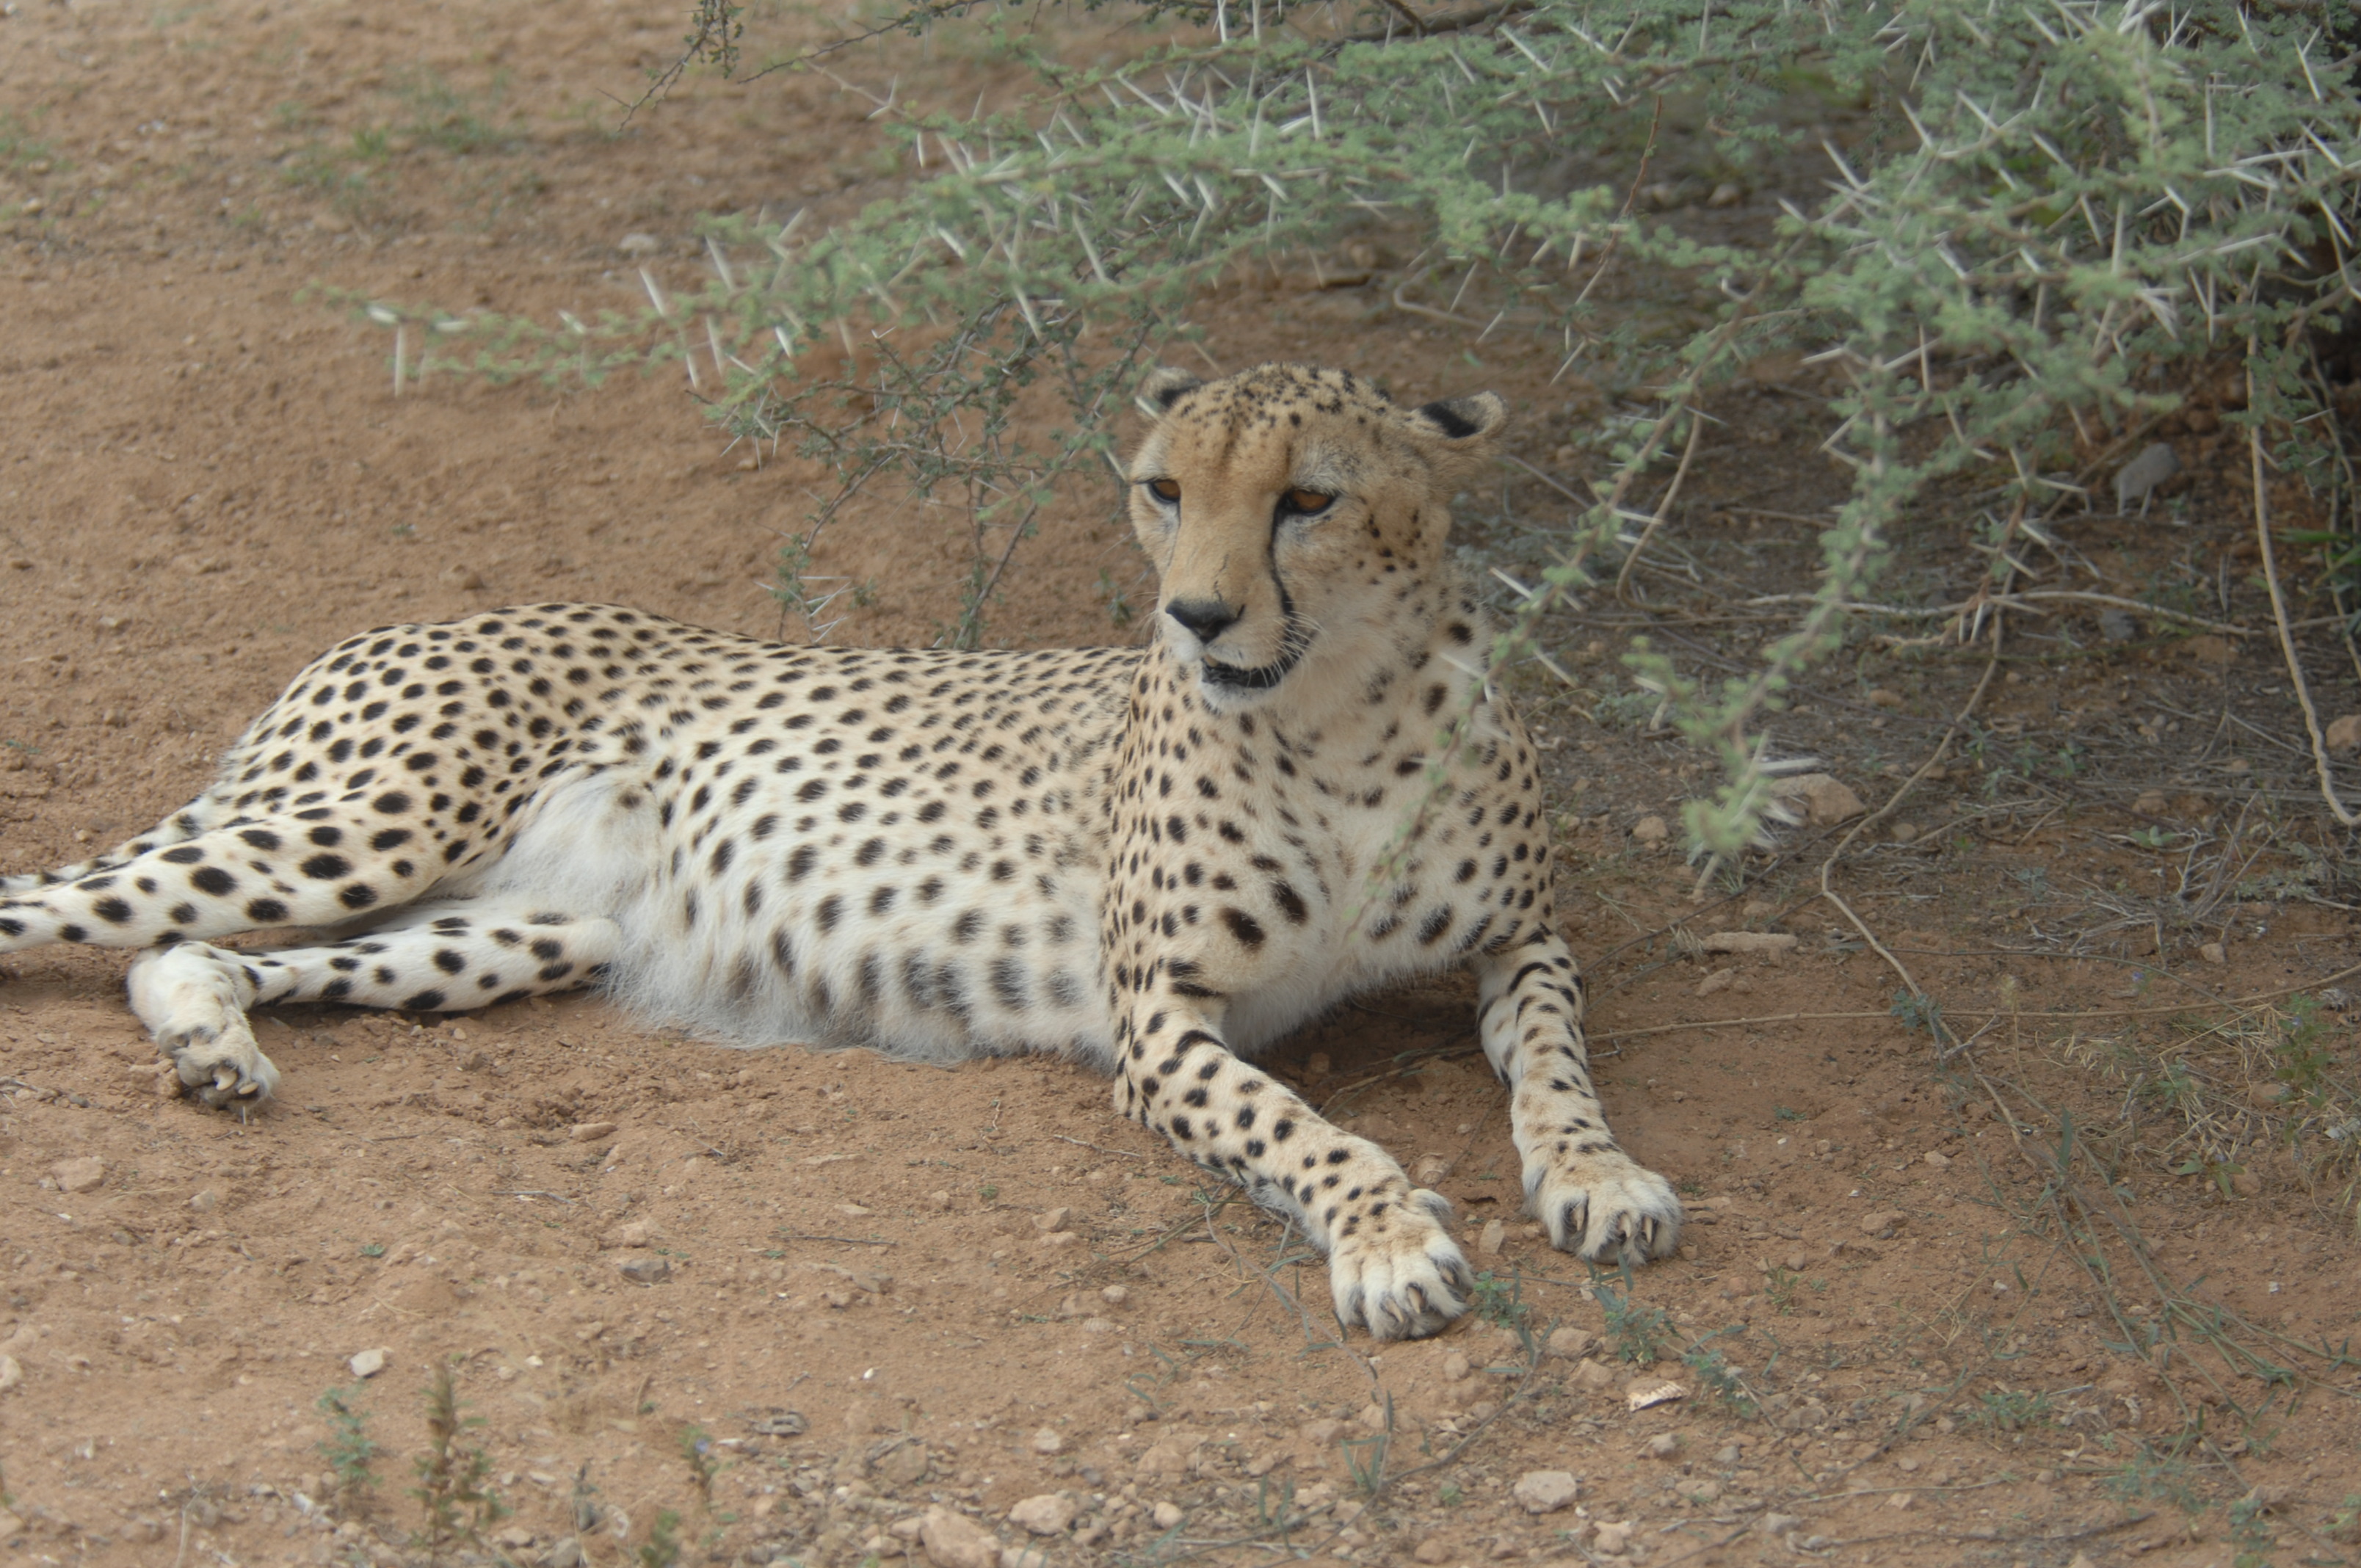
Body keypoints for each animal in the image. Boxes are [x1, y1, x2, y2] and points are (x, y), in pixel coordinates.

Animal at [0, 363, 1680, 1332]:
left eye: (1308, 499)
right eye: (1163, 490)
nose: (1197, 616)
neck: (1335, 711)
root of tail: (399, 619)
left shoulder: (1523, 938)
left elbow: (1556, 1060)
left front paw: (1598, 1175)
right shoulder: (1158, 1025)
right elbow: (1308, 1131)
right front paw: (1388, 1238)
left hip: (524, 926)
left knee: (184, 950)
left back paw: (210, 1044)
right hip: (355, 824)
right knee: (62, 901)